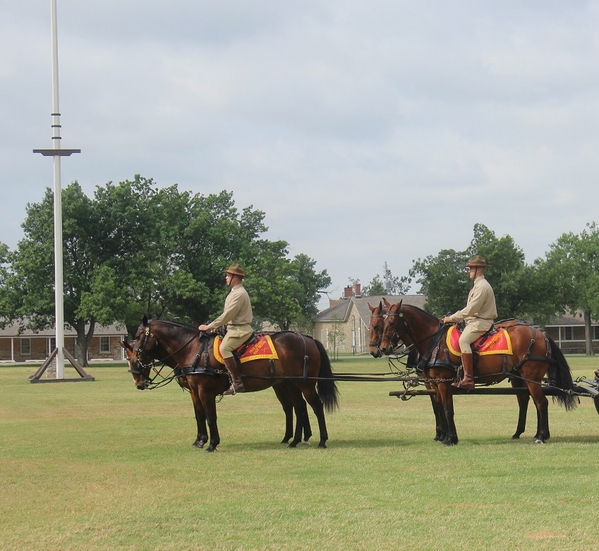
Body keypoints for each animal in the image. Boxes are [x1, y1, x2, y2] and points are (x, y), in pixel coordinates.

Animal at [123, 320, 338, 452]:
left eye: (140, 337)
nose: (139, 383)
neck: (194, 350)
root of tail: (307, 338)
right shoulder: (194, 392)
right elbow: (199, 416)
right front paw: (200, 440)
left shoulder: (205, 391)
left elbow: (210, 417)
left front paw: (212, 444)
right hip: (290, 385)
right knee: (298, 408)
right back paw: (294, 440)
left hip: (304, 384)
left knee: (315, 407)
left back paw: (321, 440)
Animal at [378, 300, 580, 446]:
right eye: (382, 322)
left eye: (392, 322)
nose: (383, 348)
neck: (434, 342)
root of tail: (541, 334)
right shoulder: (435, 383)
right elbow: (440, 409)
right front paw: (444, 436)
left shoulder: (443, 382)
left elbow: (447, 409)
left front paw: (450, 438)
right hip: (521, 377)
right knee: (527, 401)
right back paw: (528, 433)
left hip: (532, 377)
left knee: (541, 402)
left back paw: (541, 436)